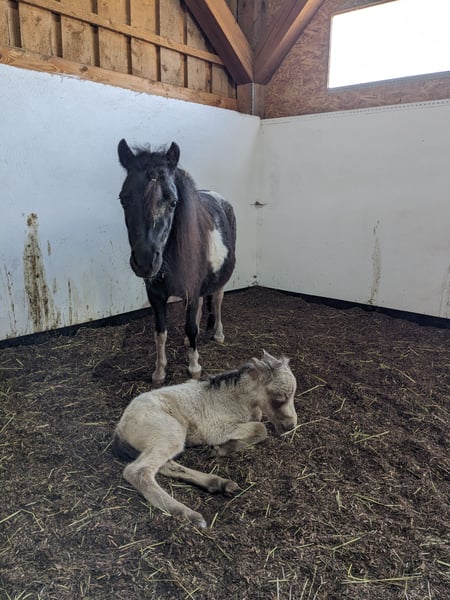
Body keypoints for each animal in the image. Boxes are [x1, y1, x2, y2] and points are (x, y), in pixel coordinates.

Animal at [112, 351, 297, 528]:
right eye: (280, 397)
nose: (291, 425)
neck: (236, 400)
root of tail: (121, 427)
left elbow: (259, 423)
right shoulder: (217, 429)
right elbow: (261, 428)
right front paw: (222, 449)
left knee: (165, 465)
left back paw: (220, 483)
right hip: (172, 431)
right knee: (138, 470)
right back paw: (189, 514)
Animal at [117, 139, 236, 383]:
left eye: (173, 202)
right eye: (123, 199)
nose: (145, 261)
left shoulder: (191, 291)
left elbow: (191, 327)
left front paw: (194, 367)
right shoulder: (155, 296)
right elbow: (160, 332)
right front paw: (159, 371)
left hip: (220, 281)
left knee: (217, 301)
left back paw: (218, 334)